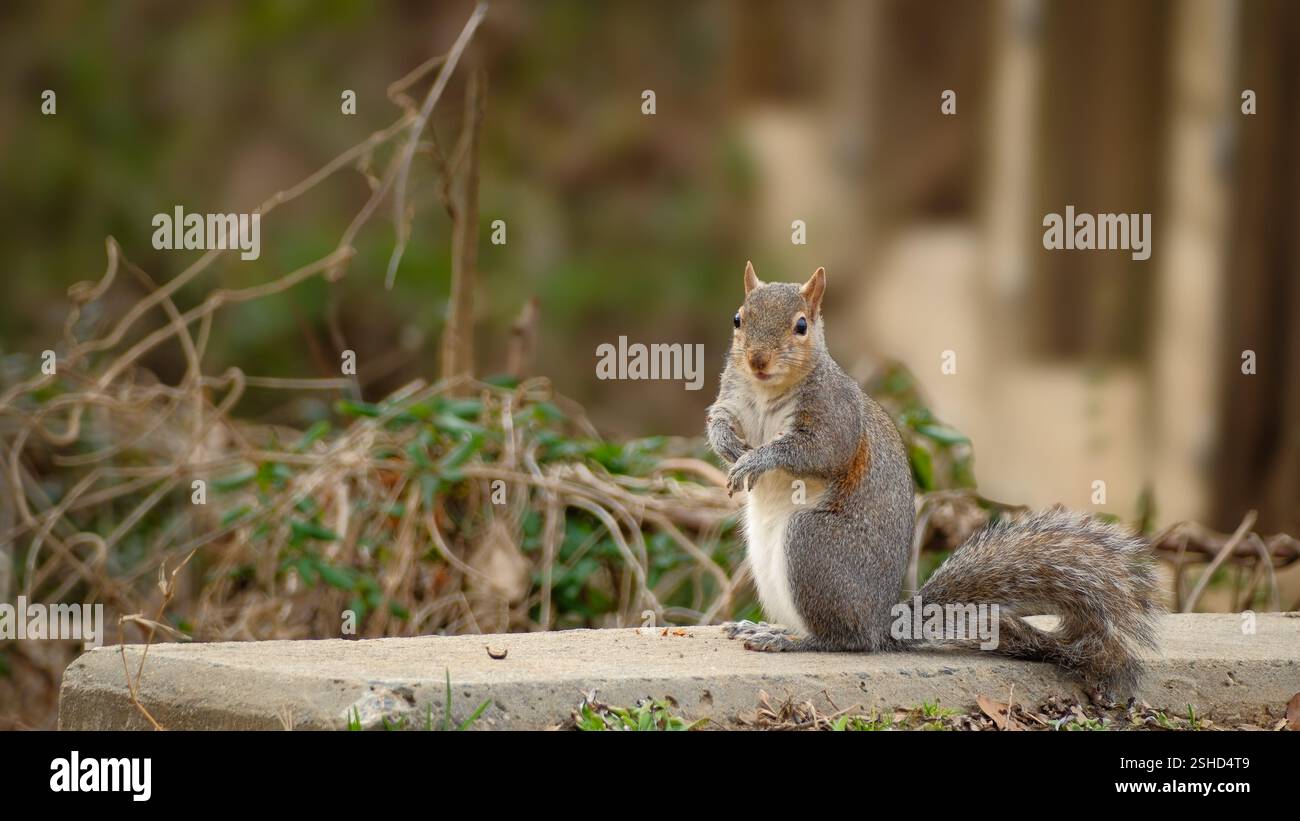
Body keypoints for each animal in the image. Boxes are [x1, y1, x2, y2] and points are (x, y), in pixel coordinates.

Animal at [706, 261, 1162, 699]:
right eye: (738, 319)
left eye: (801, 326)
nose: (757, 361)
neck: (767, 392)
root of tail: (882, 625)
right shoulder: (735, 398)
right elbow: (720, 418)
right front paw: (728, 445)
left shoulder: (834, 416)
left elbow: (817, 452)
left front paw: (755, 461)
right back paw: (765, 628)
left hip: (814, 547)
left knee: (844, 639)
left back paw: (791, 641)